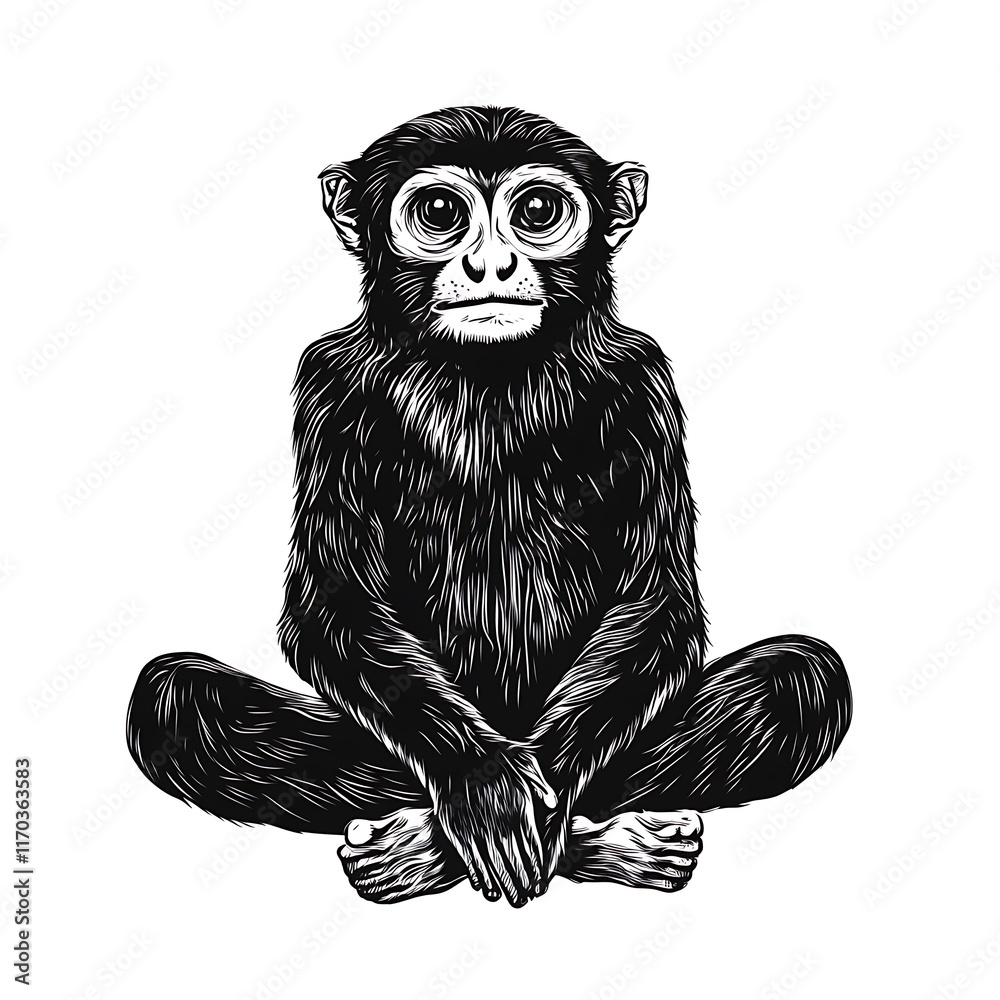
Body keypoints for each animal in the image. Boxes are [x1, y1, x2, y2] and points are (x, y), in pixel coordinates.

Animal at [127, 106, 851, 907]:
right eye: (440, 214)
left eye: (537, 212)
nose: (490, 266)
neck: (487, 375)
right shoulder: (326, 388)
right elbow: (331, 600)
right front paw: (486, 785)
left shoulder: (645, 385)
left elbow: (657, 596)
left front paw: (529, 799)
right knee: (175, 699)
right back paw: (420, 848)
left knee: (803, 679)